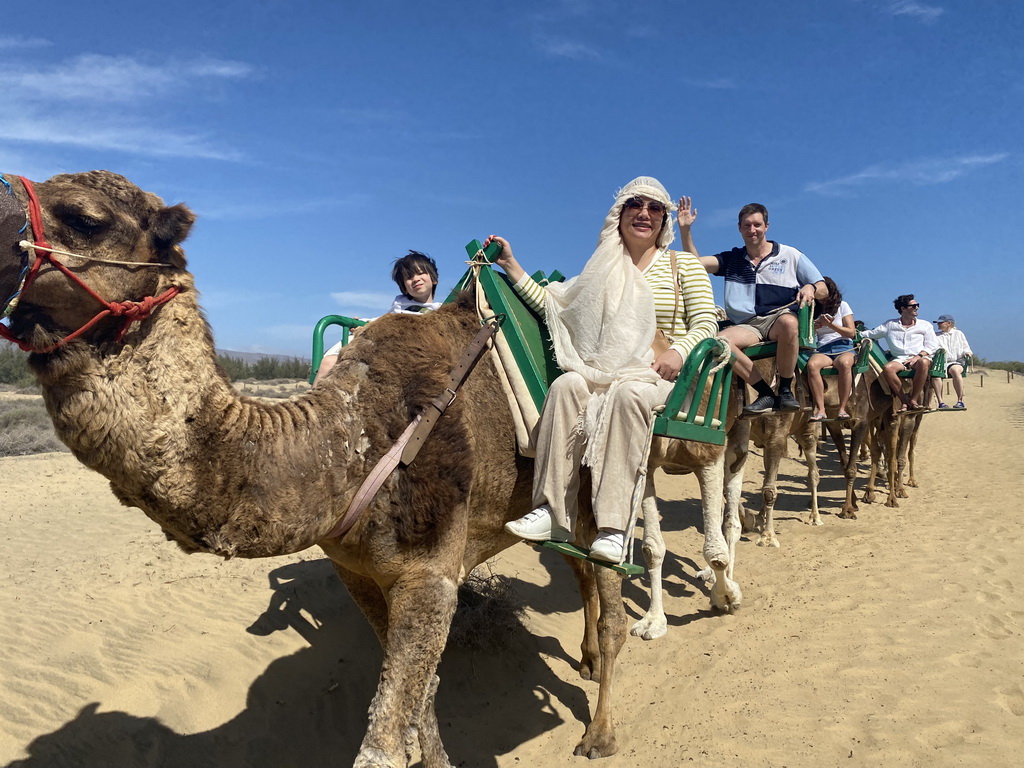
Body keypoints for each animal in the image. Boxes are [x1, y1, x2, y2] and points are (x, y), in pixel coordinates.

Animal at [0, 171, 741, 765]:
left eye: (85, 217)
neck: (349, 447)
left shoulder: (431, 572)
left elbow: (385, 736)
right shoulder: (356, 570)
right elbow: (421, 699)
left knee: (610, 587)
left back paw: (601, 730)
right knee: (578, 567)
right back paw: (583, 658)